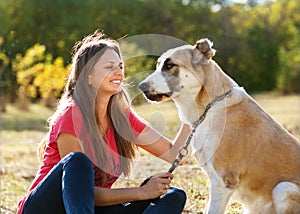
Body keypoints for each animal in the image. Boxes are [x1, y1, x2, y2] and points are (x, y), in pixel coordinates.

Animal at [138, 38, 300, 214]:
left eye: (169, 65)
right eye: (158, 64)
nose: (141, 86)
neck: (210, 106)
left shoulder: (223, 181)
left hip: (283, 188)